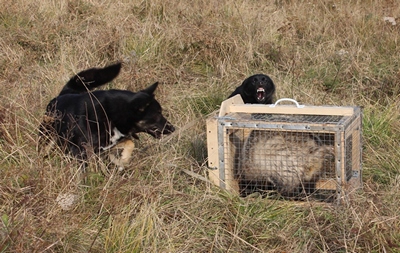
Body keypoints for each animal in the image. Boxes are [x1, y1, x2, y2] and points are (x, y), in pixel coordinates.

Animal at [38, 62, 174, 167]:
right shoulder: (80, 151)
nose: (173, 128)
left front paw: (122, 160)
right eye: (158, 114)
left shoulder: (108, 145)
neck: (111, 114)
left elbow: (130, 143)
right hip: (47, 138)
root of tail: (65, 93)